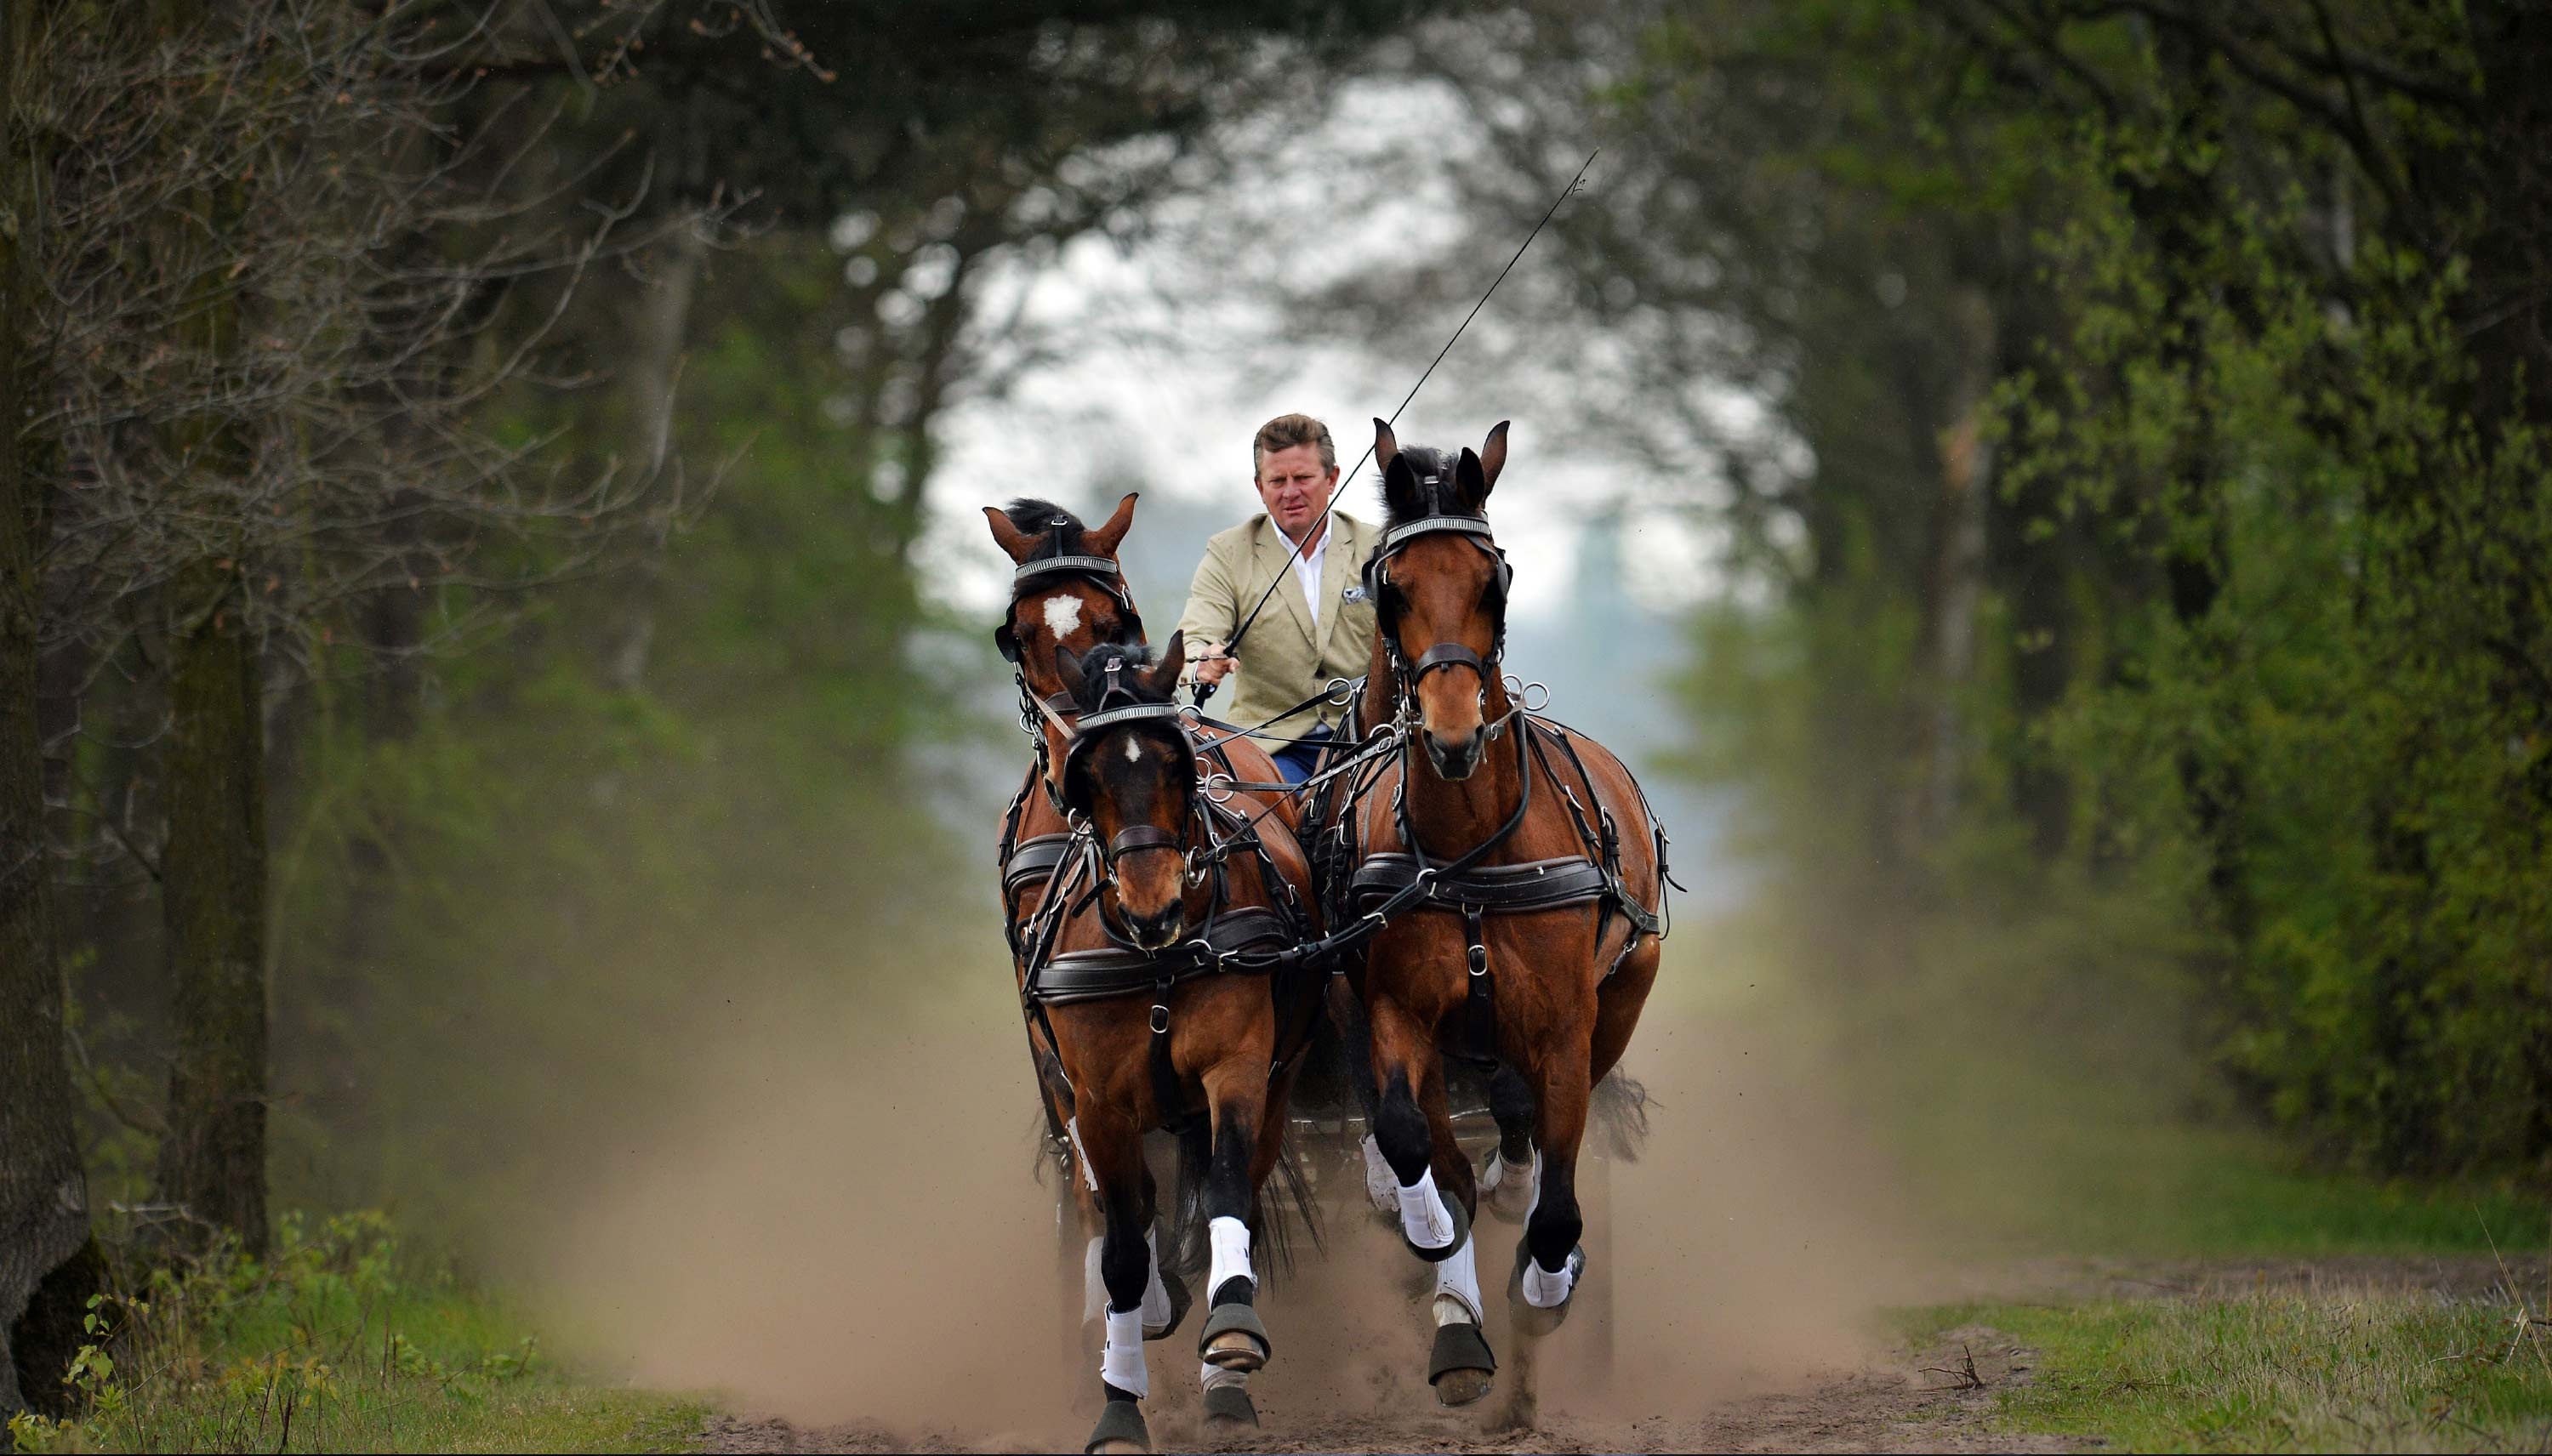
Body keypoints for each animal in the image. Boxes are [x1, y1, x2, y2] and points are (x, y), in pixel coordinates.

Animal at [980, 504, 1317, 1456]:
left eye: (1113, 616)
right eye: (1019, 634)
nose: (1154, 898)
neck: (1156, 948)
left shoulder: (1239, 1066)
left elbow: (1226, 1192)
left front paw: (1228, 1342)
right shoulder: (1088, 1090)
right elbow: (1121, 1232)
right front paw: (1117, 1397)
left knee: (1223, 1197)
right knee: (1111, 1206)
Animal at [1317, 420, 1674, 1418]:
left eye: (1493, 579)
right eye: (1390, 585)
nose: (1451, 735)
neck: (1470, 850)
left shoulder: (1563, 1024)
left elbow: (1555, 1190)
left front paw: (1548, 1282)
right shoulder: (1398, 1013)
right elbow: (1420, 1151)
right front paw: (1449, 1299)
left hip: (1618, 1000)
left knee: (1544, 1128)